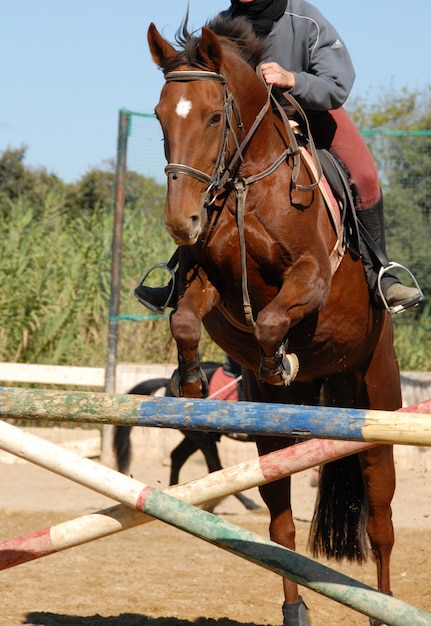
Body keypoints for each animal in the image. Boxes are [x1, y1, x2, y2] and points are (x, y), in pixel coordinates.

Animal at [148, 14, 402, 624]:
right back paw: (295, 609)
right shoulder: (206, 280)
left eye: (215, 116)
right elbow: (186, 321)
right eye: (160, 116)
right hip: (274, 438)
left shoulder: (311, 276)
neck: (246, 182)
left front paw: (276, 357)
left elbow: (270, 319)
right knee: (281, 525)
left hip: (377, 402)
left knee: (381, 523)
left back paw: (382, 604)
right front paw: (191, 382)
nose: (182, 221)